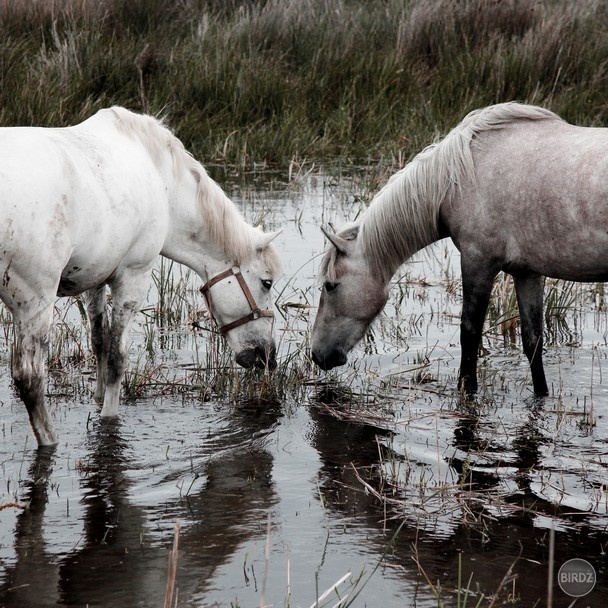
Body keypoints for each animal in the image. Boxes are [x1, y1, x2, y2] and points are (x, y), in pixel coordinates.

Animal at [0, 107, 280, 444]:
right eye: (266, 282)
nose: (267, 356)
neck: (163, 181)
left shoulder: (94, 280)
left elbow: (99, 341)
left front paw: (98, 398)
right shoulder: (133, 277)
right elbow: (117, 358)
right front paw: (109, 416)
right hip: (34, 303)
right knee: (30, 380)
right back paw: (49, 440)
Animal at [312, 103, 608, 400]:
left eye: (330, 285)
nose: (317, 354)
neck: (456, 179)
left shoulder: (477, 261)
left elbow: (470, 332)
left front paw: (467, 390)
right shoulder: (527, 272)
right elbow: (532, 341)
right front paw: (541, 395)